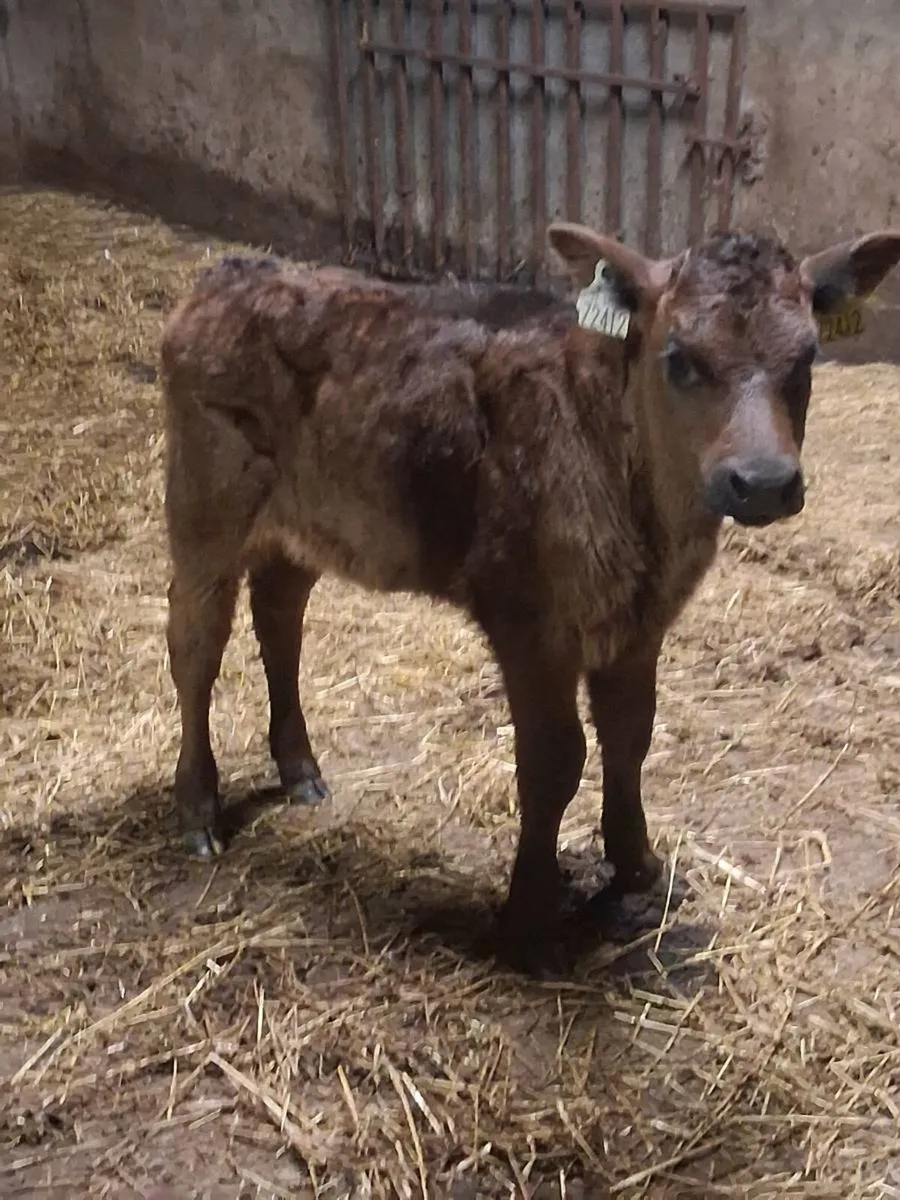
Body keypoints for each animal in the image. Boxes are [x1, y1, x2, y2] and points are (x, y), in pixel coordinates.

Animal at [160, 222, 900, 973]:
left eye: (807, 356)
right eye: (680, 358)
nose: (764, 482)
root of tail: (232, 272)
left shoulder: (641, 622)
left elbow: (630, 735)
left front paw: (637, 868)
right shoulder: (527, 619)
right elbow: (554, 759)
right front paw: (529, 913)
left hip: (305, 522)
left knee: (280, 620)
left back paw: (300, 771)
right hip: (204, 503)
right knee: (195, 643)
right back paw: (198, 811)